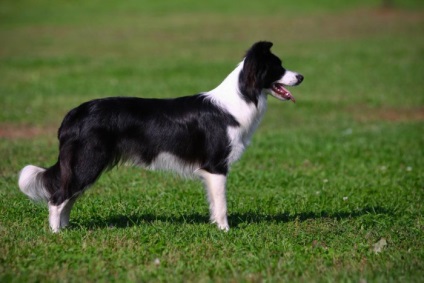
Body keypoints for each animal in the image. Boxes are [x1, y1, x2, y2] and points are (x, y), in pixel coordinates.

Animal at [16, 42, 302, 233]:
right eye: (278, 67)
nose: (301, 76)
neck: (241, 98)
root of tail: (73, 114)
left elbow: (213, 202)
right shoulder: (216, 165)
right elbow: (221, 204)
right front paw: (225, 232)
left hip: (85, 165)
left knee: (68, 197)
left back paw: (66, 229)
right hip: (87, 162)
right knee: (57, 198)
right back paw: (56, 234)